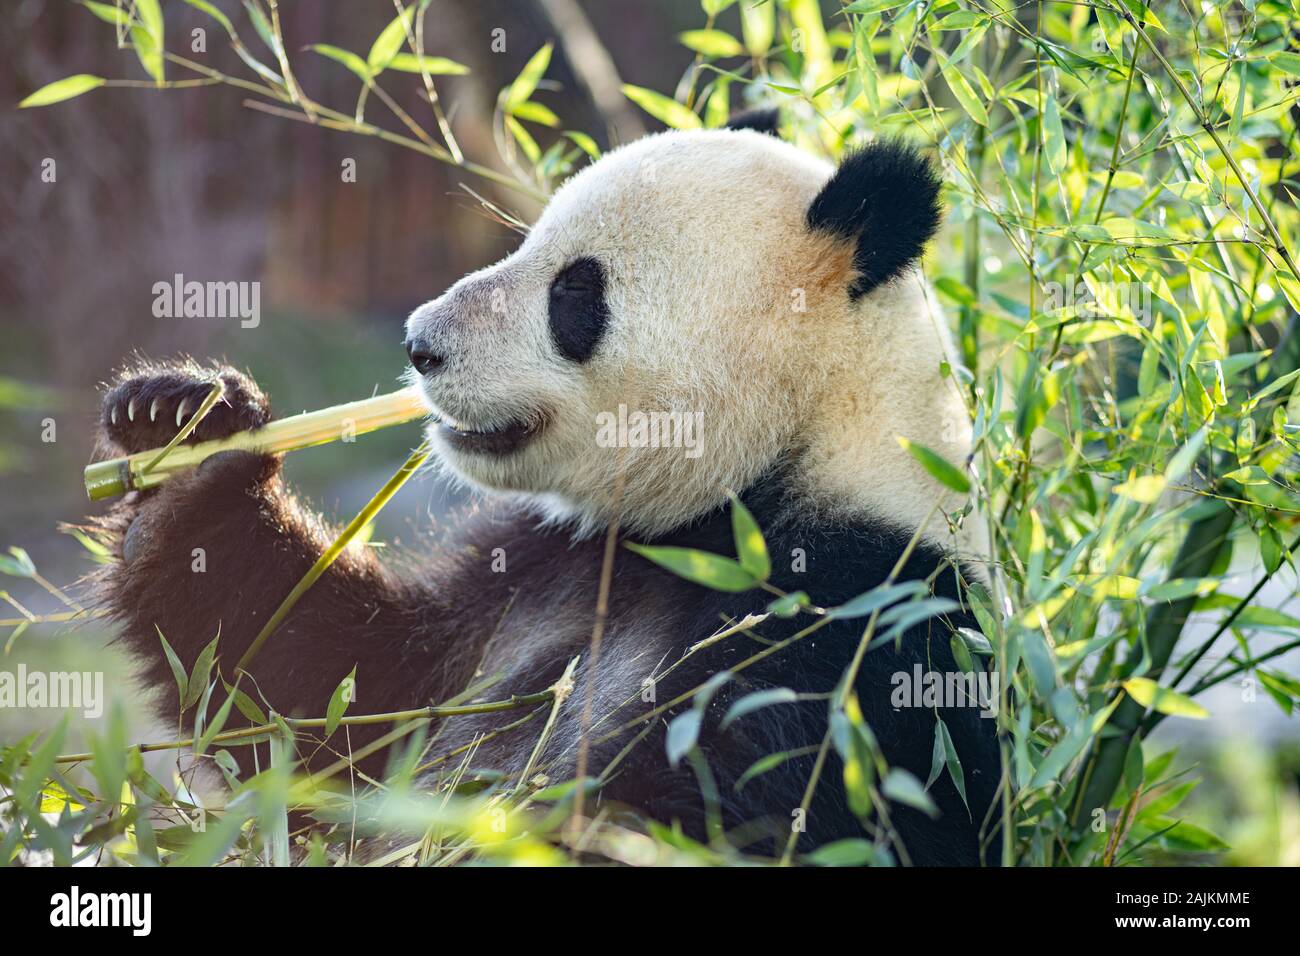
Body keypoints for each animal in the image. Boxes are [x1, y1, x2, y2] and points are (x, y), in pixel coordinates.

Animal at [91, 111, 1003, 868]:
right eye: (525, 243)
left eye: (575, 290)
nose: (421, 345)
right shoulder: (537, 567)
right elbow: (334, 700)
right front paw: (189, 444)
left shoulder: (859, 632)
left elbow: (728, 817)